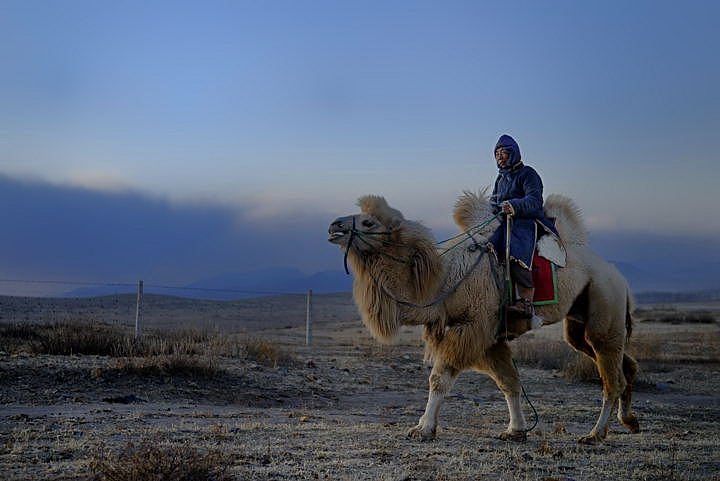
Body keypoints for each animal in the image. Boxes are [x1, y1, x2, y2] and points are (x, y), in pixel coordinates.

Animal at [330, 190, 640, 442]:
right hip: (580, 321)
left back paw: (595, 434)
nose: (334, 225)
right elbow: (509, 382)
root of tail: (620, 279)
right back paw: (629, 420)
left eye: (369, 222)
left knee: (610, 377)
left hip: (604, 298)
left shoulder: (473, 325)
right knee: (621, 364)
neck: (444, 279)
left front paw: (423, 429)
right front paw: (515, 430)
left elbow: (439, 378)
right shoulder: (490, 337)